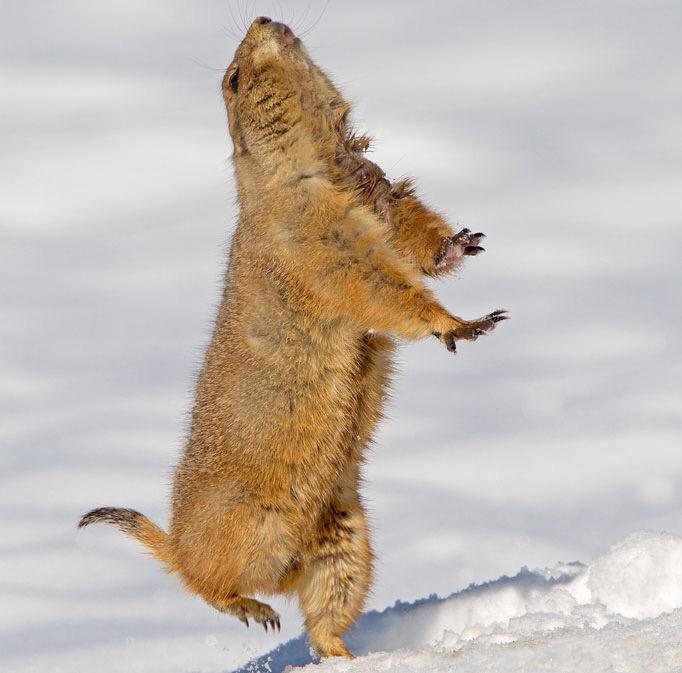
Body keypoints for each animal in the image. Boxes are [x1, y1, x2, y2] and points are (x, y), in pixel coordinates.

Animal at [79, 17, 508, 660]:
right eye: (233, 78)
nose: (264, 19)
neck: (326, 162)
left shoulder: (381, 189)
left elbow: (413, 234)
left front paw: (460, 242)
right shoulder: (314, 232)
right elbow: (375, 283)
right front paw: (461, 323)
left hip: (345, 538)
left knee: (322, 612)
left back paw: (347, 655)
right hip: (248, 524)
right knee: (201, 581)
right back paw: (251, 608)